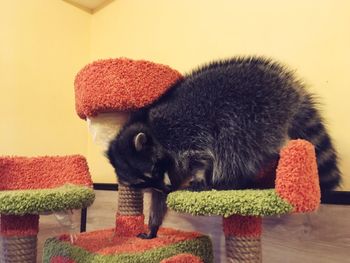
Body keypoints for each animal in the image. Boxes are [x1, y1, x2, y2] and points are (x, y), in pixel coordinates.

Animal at [107, 56, 342, 240]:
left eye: (154, 169)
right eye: (143, 183)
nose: (166, 188)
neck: (148, 128)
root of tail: (288, 92)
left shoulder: (179, 130)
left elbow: (200, 154)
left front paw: (199, 175)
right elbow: (159, 199)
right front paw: (154, 224)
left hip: (253, 116)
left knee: (232, 148)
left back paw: (230, 182)